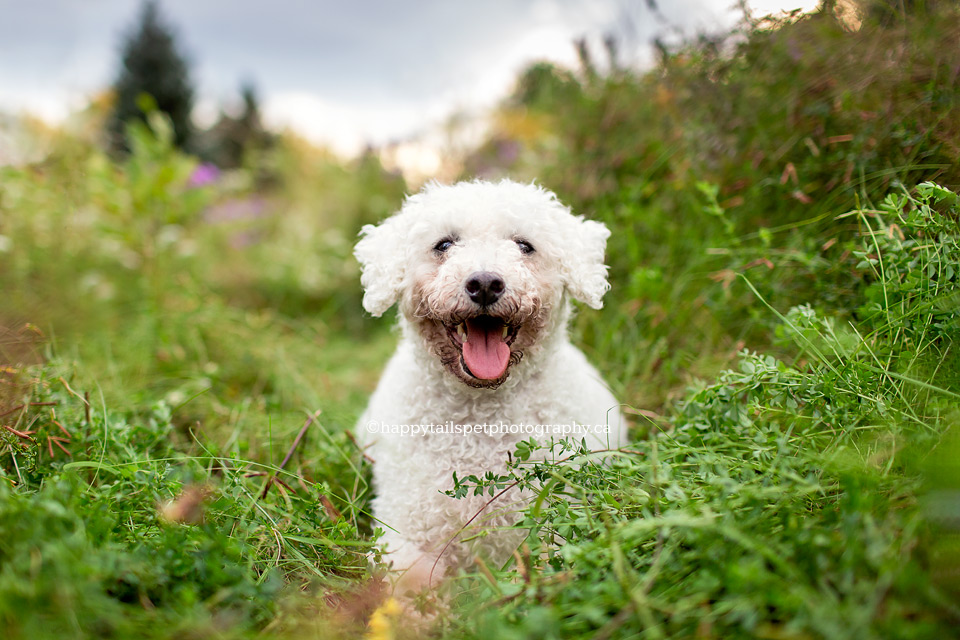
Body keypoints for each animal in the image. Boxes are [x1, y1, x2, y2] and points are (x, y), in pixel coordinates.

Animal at [352, 179, 624, 596]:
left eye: (524, 245)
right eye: (444, 244)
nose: (484, 283)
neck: (481, 418)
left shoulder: (558, 526)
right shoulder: (403, 531)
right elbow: (409, 582)